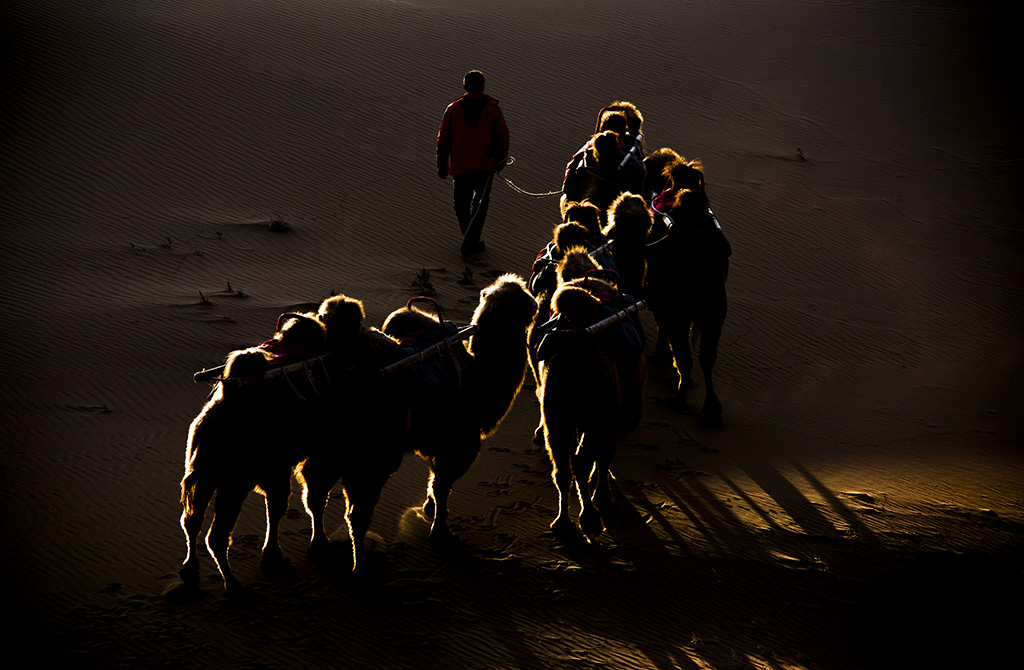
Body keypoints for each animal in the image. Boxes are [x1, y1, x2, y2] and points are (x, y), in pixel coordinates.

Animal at [180, 297, 407, 594]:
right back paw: (234, 586)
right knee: (217, 534)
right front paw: (337, 557)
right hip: (235, 477)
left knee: (192, 520)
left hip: (205, 466)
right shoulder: (347, 461)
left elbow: (299, 501)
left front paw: (293, 553)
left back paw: (191, 570)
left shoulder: (302, 461)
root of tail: (227, 404)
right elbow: (330, 503)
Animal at [382, 272, 540, 540]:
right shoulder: (461, 444)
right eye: (521, 298)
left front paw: (431, 509)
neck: (481, 383)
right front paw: (440, 531)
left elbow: (435, 480)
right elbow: (442, 485)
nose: (536, 303)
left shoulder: (442, 445)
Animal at [536, 268, 647, 540]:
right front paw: (604, 495)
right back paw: (591, 519)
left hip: (556, 414)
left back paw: (563, 523)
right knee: (580, 461)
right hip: (596, 413)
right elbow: (605, 454)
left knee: (563, 468)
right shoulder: (613, 417)